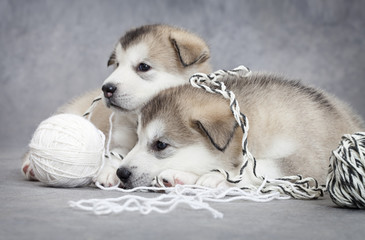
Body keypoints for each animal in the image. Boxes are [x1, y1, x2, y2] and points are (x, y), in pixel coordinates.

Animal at [22, 24, 210, 186]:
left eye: (143, 66)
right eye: (117, 65)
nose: (107, 89)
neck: (137, 121)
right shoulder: (120, 138)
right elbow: (117, 153)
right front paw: (109, 171)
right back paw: (30, 166)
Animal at [116, 73, 364, 189]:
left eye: (160, 145)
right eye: (138, 139)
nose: (121, 173)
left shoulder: (307, 162)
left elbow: (258, 166)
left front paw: (220, 177)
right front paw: (181, 176)